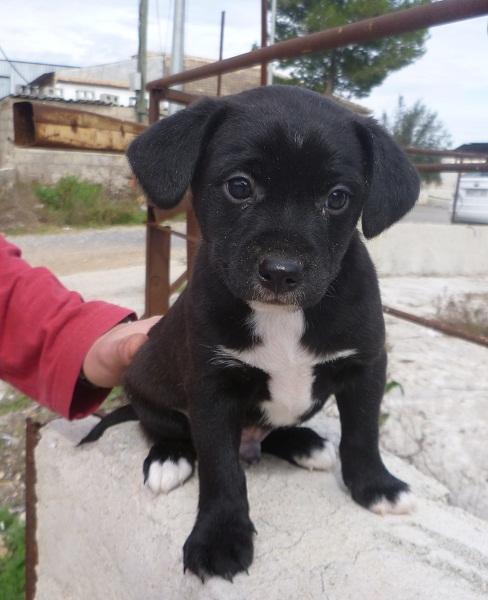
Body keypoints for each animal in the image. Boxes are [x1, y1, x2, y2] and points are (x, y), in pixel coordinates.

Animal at [85, 84, 420, 580]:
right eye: (239, 186)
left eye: (338, 197)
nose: (281, 272)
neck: (281, 317)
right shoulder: (212, 387)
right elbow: (221, 469)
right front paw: (220, 536)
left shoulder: (367, 363)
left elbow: (362, 432)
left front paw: (375, 486)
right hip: (146, 382)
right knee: (166, 428)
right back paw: (169, 457)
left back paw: (305, 443)